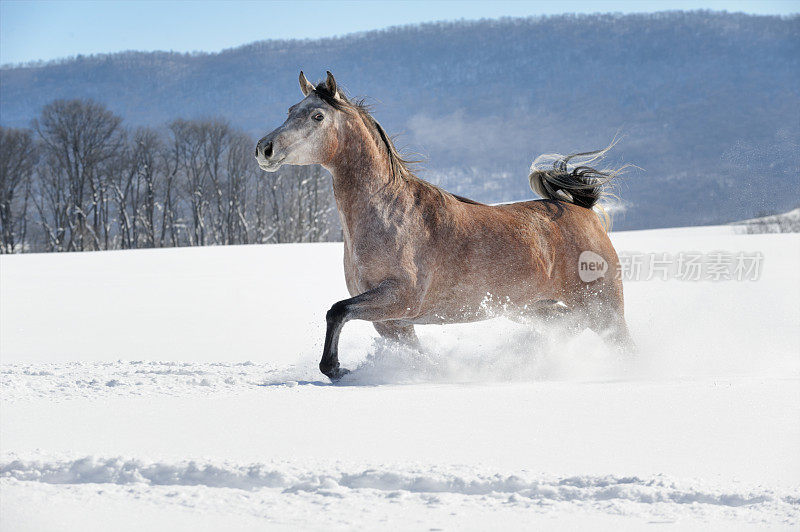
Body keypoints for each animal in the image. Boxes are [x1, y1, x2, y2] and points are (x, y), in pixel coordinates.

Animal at [255, 71, 632, 382]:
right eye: (291, 109)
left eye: (317, 116)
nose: (264, 149)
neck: (389, 214)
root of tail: (584, 211)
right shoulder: (391, 323)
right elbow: (413, 354)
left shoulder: (400, 300)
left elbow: (336, 311)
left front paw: (336, 369)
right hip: (533, 309)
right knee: (569, 327)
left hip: (602, 307)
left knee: (621, 342)